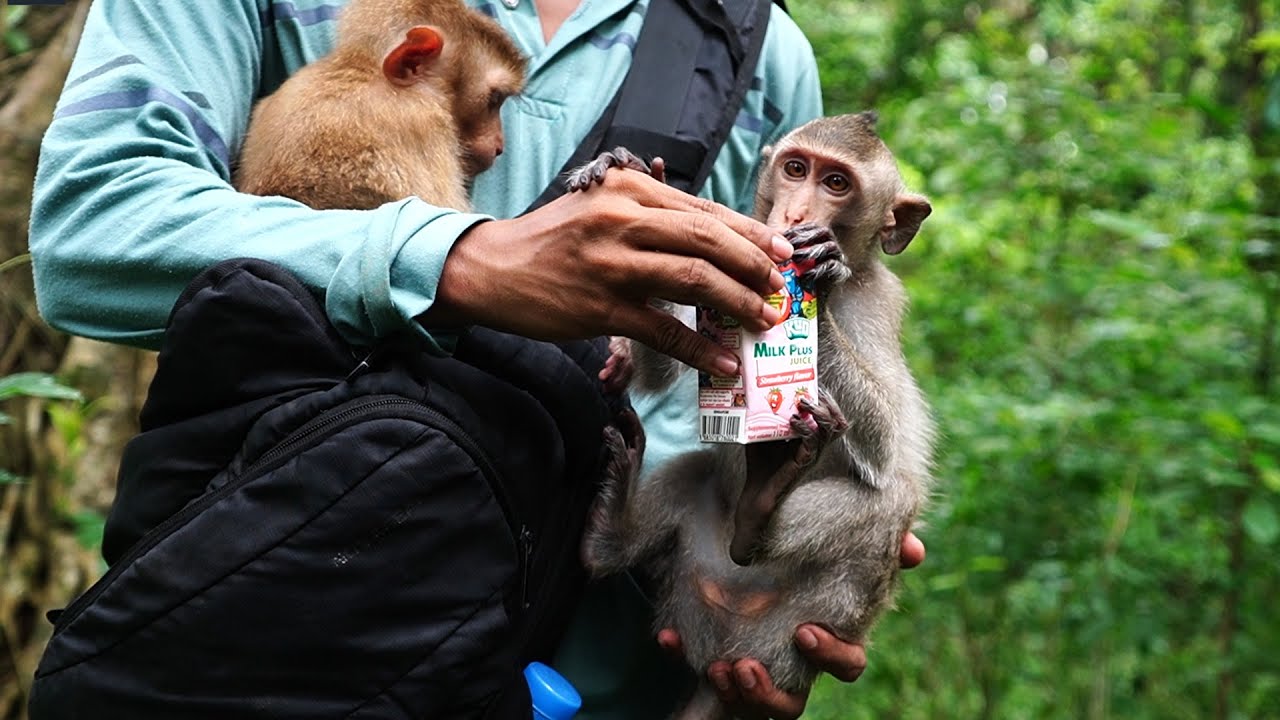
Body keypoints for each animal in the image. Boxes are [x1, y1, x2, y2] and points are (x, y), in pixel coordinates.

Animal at [571, 112, 935, 720]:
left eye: (837, 183)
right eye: (796, 169)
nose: (795, 217)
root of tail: (723, 655)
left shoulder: (881, 302)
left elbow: (888, 445)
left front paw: (820, 282)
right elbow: (664, 370)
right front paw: (637, 176)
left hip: (800, 632)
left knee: (893, 500)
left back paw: (757, 518)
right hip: (690, 585)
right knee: (695, 474)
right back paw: (613, 533)